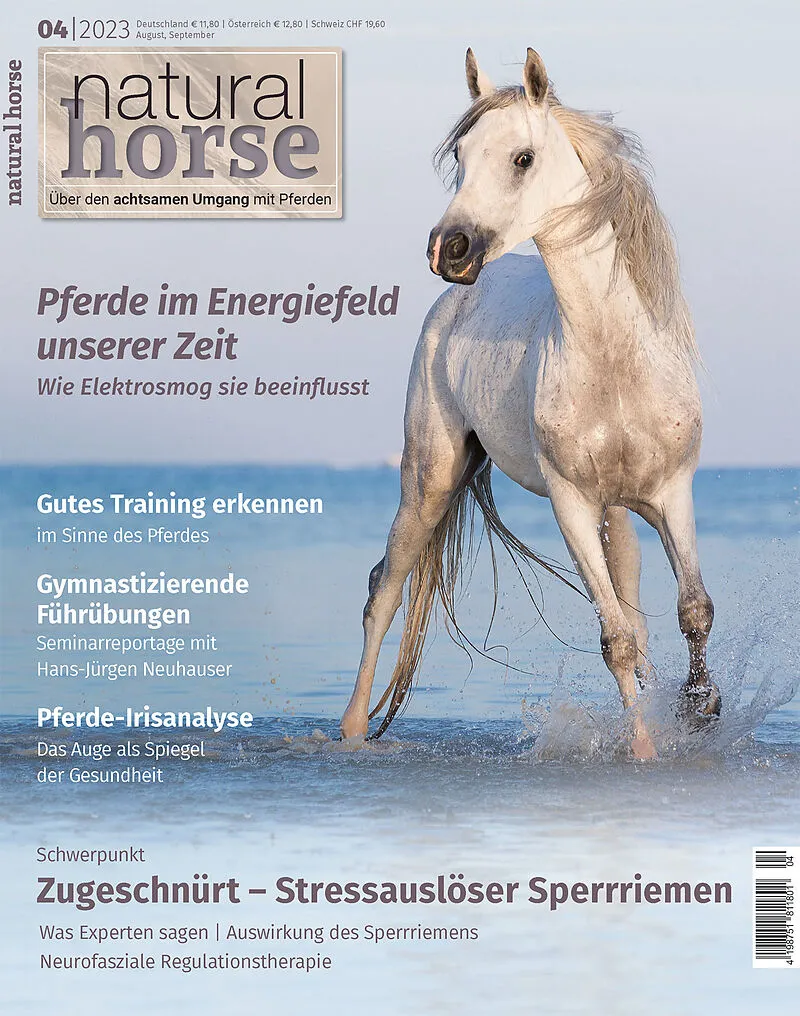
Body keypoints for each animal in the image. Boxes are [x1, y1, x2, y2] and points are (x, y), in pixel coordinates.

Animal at [340, 47, 720, 759]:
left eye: (522, 158)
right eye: (460, 156)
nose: (449, 249)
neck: (613, 357)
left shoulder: (670, 493)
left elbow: (691, 610)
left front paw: (701, 709)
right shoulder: (571, 506)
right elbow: (616, 639)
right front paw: (645, 751)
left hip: (618, 513)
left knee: (638, 609)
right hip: (430, 482)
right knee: (384, 590)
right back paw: (350, 732)